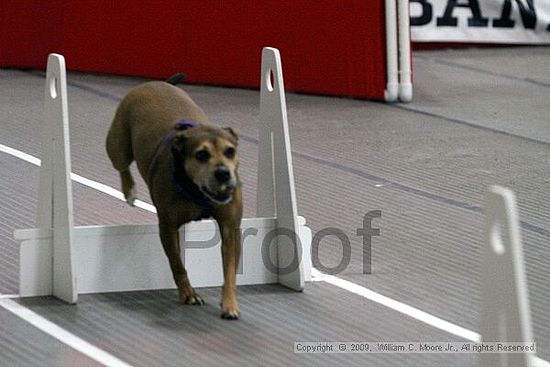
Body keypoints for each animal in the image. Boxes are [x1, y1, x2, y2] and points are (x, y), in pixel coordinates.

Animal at [107, 77, 244, 320]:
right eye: (201, 155)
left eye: (230, 151)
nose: (223, 173)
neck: (199, 191)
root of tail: (153, 83)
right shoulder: (168, 227)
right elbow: (177, 264)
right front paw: (188, 294)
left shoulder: (230, 228)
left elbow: (229, 270)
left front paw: (229, 304)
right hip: (118, 145)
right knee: (121, 164)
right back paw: (129, 190)